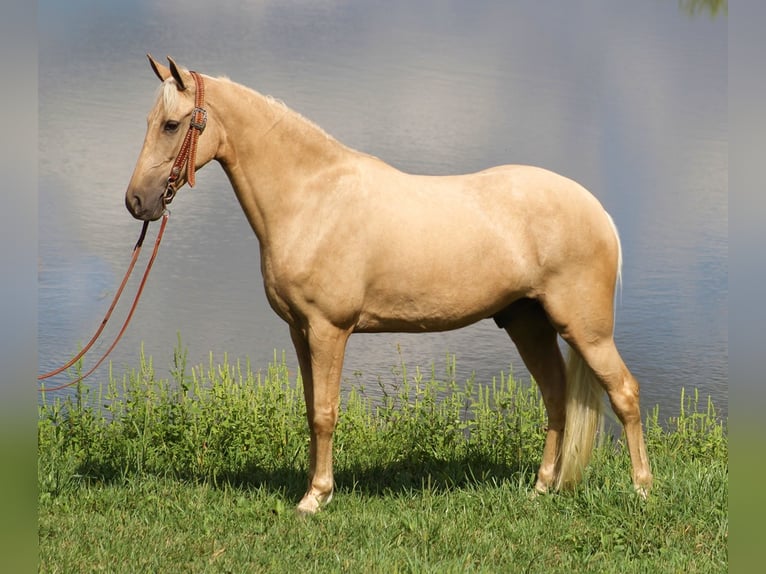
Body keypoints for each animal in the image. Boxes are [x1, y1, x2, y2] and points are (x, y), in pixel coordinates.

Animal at [126, 57, 656, 516]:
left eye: (171, 125)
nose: (136, 202)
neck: (312, 199)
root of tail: (598, 211)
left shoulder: (328, 330)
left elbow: (325, 412)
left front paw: (316, 497)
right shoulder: (300, 331)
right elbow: (310, 410)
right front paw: (313, 488)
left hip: (585, 331)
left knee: (624, 393)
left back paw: (642, 488)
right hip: (528, 324)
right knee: (555, 396)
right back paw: (542, 488)